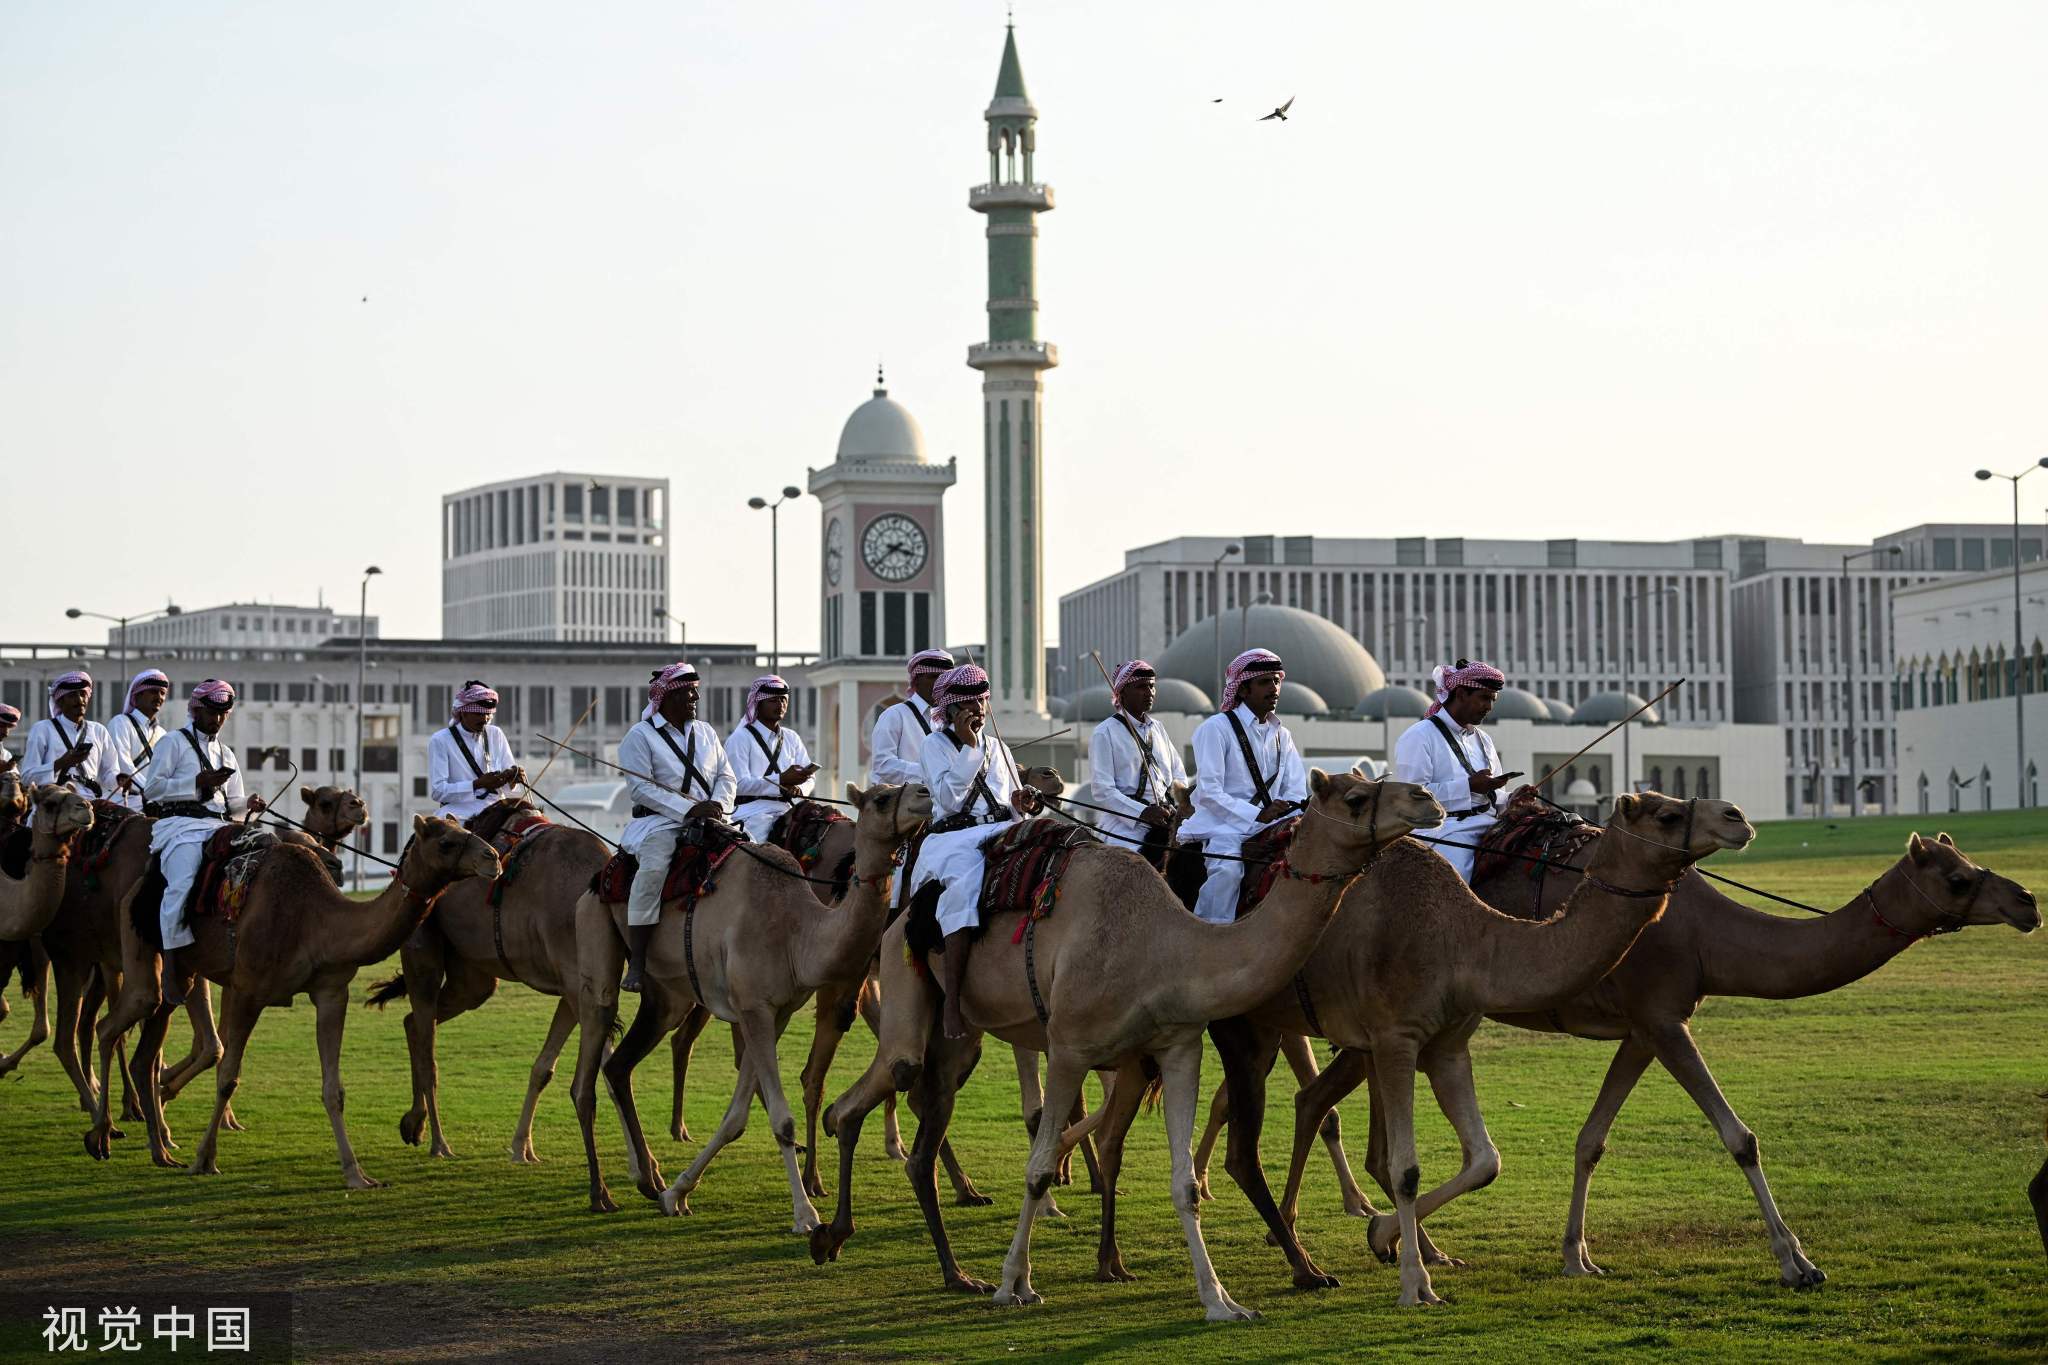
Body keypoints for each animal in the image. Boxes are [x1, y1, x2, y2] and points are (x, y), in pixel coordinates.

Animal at [87, 818, 503, 1186]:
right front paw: (204, 1160)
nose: (493, 858)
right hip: (141, 945)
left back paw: (160, 1146)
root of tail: (138, 884)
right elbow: (228, 1077)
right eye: (446, 842)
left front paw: (357, 1175)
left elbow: (333, 1089)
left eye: (466, 829)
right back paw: (102, 1136)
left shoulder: (332, 991)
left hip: (182, 974)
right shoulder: (248, 988)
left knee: (143, 1048)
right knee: (110, 1025)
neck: (315, 920)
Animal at [573, 777, 933, 1227]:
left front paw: (677, 1194)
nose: (925, 794)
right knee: (589, 1067)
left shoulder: (775, 1012)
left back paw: (650, 1179)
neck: (798, 929)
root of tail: (597, 878)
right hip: (597, 942)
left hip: (666, 996)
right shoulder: (754, 1007)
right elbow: (782, 1118)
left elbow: (737, 1116)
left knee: (619, 1066)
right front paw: (806, 1213)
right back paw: (602, 1191)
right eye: (882, 797)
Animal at [811, 773, 1441, 1317]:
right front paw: (1016, 1285)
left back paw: (922, 1261)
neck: (1168, 946)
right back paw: (843, 1231)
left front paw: (1222, 1302)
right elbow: (1038, 1169)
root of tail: (903, 913)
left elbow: (1184, 1185)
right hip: (904, 978)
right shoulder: (1068, 1047)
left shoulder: (1179, 1047)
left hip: (958, 1037)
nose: (1426, 798)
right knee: (884, 1079)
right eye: (1356, 798)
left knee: (911, 1123)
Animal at [1196, 794, 1761, 1309]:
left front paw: (1386, 1239)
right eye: (1666, 814)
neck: (1463, 937)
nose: (1737, 817)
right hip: (1244, 1026)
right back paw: (1302, 1266)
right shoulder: (1396, 1036)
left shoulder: (1447, 1042)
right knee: (1247, 1147)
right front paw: (1415, 1285)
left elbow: (1484, 1160)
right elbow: (1406, 1167)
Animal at [1441, 822, 2031, 1293]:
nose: (2026, 901)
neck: (1705, 938)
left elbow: (1592, 1141)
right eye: (1957, 878)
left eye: (1969, 861)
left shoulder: (1645, 1029)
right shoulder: (1663, 1020)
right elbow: (1740, 1138)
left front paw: (1576, 1258)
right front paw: (1797, 1264)